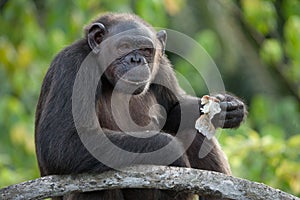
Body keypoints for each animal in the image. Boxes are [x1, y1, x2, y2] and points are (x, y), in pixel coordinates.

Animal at [35, 13, 246, 199]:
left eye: (145, 50)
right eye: (124, 46)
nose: (136, 59)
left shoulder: (162, 67)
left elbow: (173, 110)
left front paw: (227, 107)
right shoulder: (73, 65)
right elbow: (64, 141)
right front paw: (172, 151)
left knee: (193, 131)